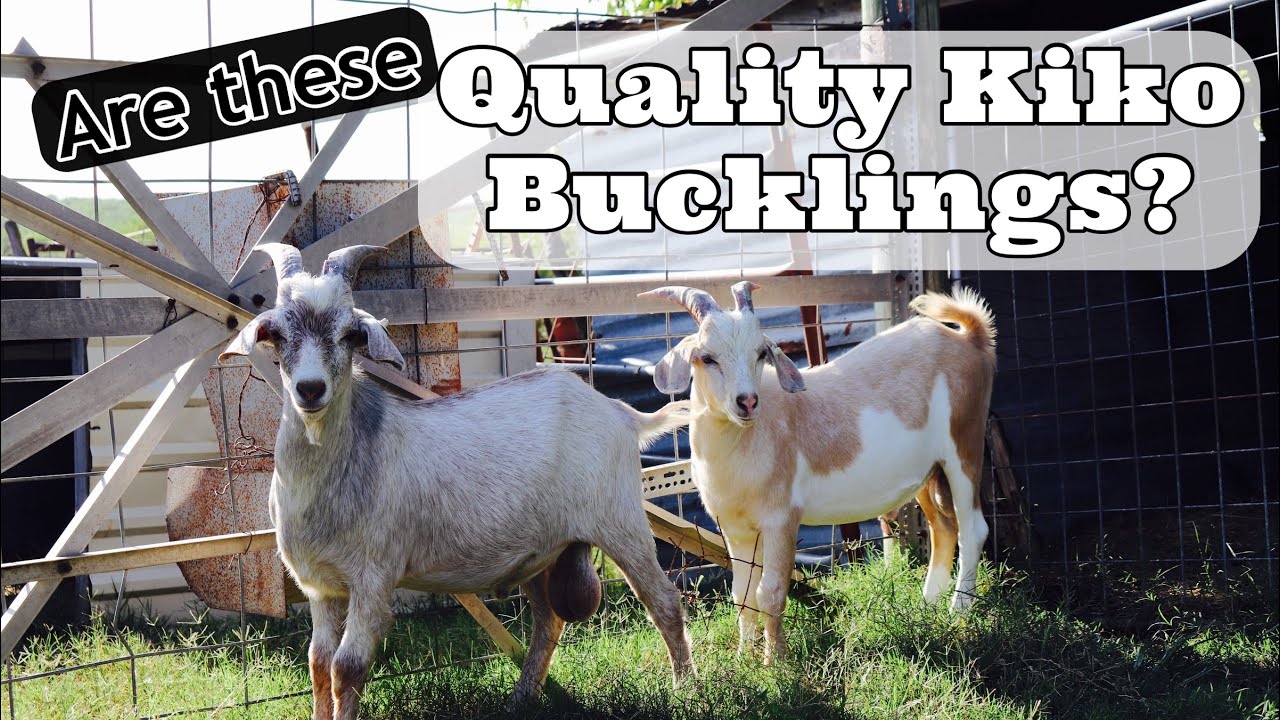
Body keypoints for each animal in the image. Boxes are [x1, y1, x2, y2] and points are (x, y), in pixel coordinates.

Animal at [220, 243, 694, 720]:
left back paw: (686, 691)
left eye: (350, 334)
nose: (310, 389)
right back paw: (522, 698)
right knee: (549, 619)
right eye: (278, 334)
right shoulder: (321, 588)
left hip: (622, 523)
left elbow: (346, 668)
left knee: (665, 602)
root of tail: (621, 413)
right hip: (542, 551)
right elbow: (318, 664)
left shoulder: (374, 577)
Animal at [640, 282, 996, 662]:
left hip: (963, 446)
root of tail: (968, 338)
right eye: (707, 357)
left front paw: (775, 662)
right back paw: (926, 608)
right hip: (926, 472)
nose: (747, 402)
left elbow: (770, 592)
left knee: (973, 528)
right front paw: (743, 659)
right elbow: (743, 597)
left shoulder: (781, 518)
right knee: (943, 527)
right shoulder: (735, 531)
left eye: (760, 352)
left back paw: (958, 612)